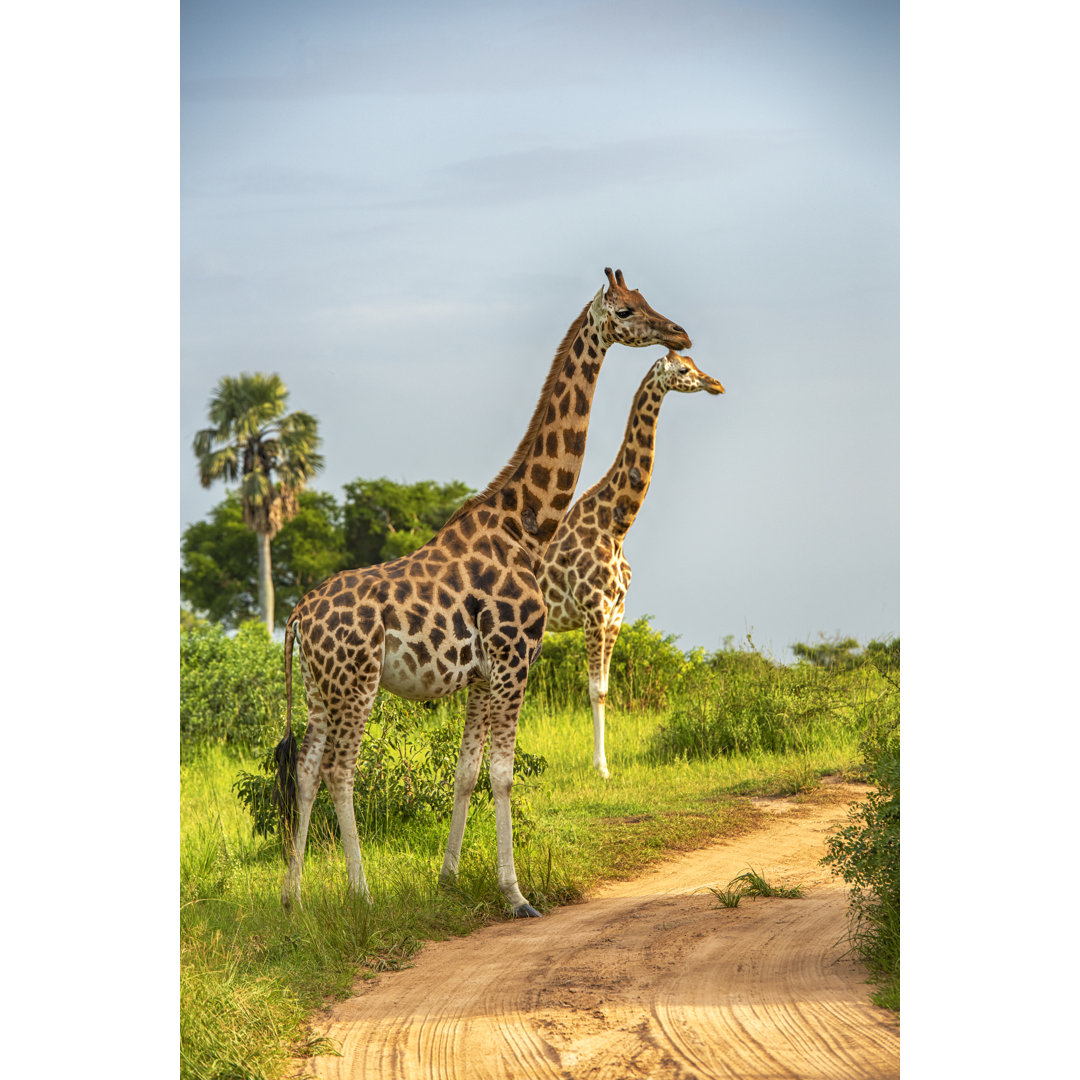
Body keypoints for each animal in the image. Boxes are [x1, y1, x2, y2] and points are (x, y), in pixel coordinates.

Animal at [272, 270, 691, 920]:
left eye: (648, 299)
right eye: (625, 311)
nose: (681, 333)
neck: (527, 525)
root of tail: (295, 616)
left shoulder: (479, 674)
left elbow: (466, 772)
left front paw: (447, 879)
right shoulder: (515, 660)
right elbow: (503, 774)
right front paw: (515, 894)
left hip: (321, 687)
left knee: (310, 767)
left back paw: (292, 897)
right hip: (356, 682)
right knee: (341, 770)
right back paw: (362, 893)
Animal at [540, 352, 725, 777]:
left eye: (695, 362)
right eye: (684, 370)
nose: (716, 384)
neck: (616, 527)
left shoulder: (616, 614)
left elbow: (606, 688)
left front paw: (603, 764)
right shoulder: (594, 610)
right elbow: (594, 690)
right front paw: (601, 767)